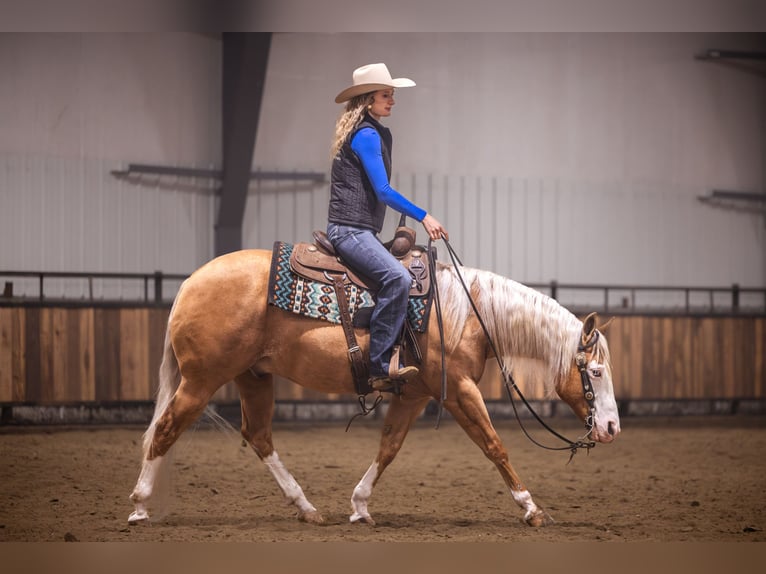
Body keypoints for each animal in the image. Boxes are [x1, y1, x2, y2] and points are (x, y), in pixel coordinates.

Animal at [128, 247, 620, 528]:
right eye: (595, 372)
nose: (612, 428)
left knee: (258, 436)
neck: (466, 314)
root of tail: (190, 282)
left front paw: (360, 505)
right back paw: (140, 506)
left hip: (254, 377)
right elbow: (495, 445)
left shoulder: (417, 394)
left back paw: (306, 508)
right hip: (202, 381)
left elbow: (389, 447)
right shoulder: (459, 391)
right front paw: (532, 509)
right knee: (165, 431)